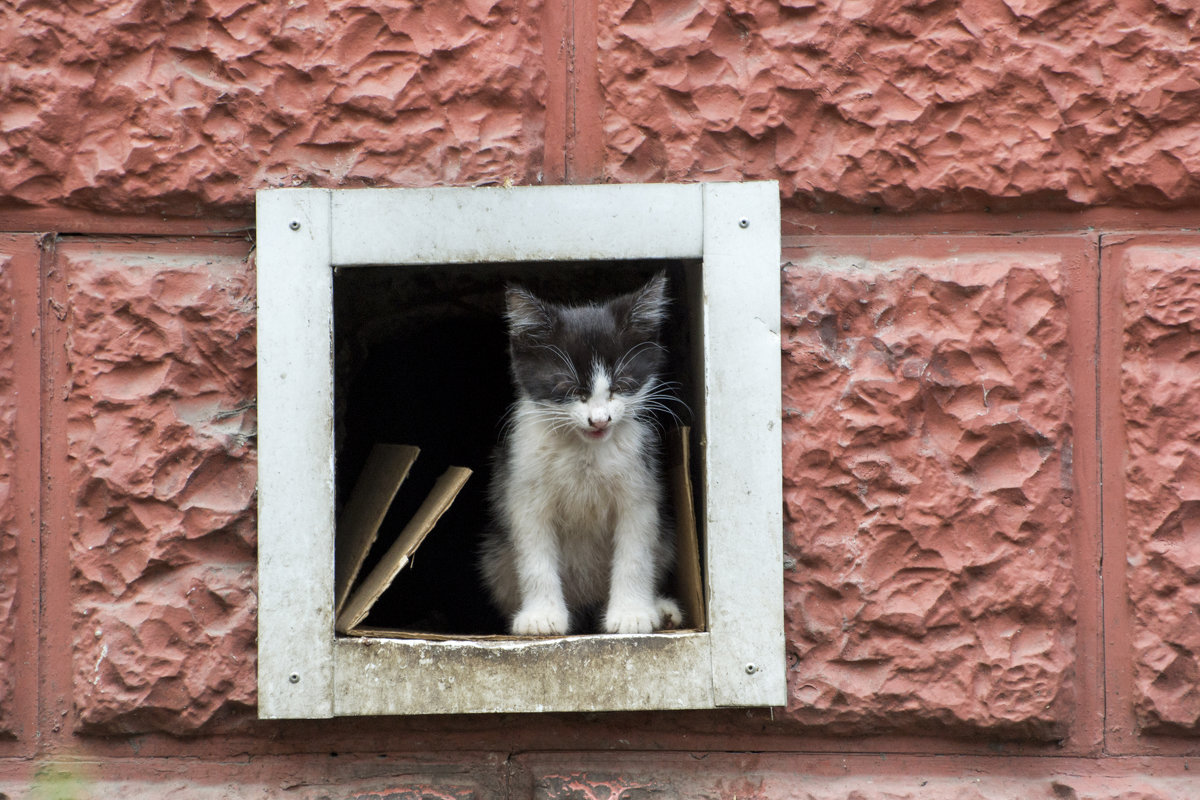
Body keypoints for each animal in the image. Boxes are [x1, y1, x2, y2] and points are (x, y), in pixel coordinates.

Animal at [480, 272, 686, 633]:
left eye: (622, 384)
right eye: (568, 388)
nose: (599, 420)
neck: (585, 451)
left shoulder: (640, 486)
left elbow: (635, 553)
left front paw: (631, 613)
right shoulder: (523, 488)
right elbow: (535, 556)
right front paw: (541, 616)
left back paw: (661, 609)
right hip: (494, 555)